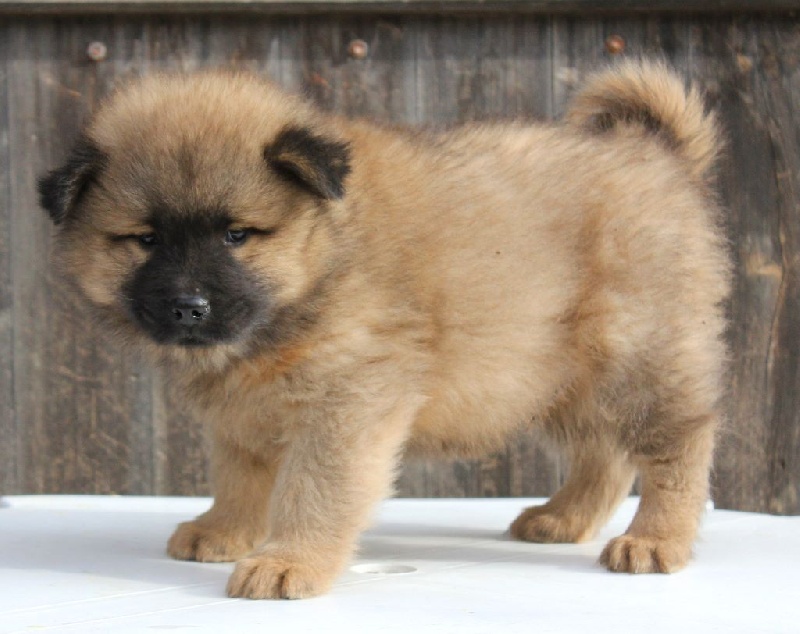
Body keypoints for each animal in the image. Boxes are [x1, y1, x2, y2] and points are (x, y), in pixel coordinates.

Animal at [39, 60, 730, 599]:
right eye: (145, 240)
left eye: (237, 234)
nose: (188, 306)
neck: (324, 256)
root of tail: (655, 153)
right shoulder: (244, 412)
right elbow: (240, 477)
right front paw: (224, 529)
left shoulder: (347, 402)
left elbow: (313, 490)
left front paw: (289, 560)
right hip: (560, 375)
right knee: (604, 452)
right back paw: (564, 518)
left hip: (634, 354)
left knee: (678, 443)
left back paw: (655, 540)